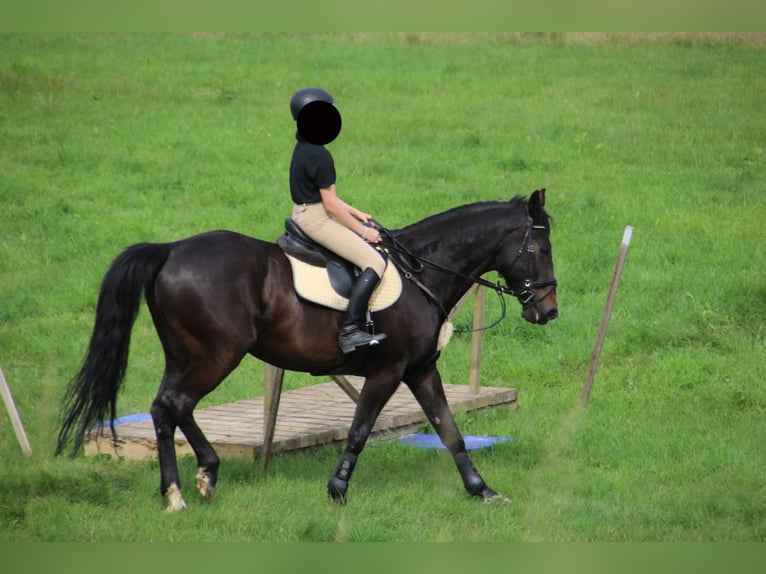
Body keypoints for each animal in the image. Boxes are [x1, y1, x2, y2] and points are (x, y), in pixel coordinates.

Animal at [55, 189, 560, 512]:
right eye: (539, 247)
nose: (549, 310)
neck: (423, 271)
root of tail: (171, 250)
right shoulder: (388, 370)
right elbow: (359, 431)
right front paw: (337, 490)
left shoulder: (419, 370)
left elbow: (450, 431)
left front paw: (482, 491)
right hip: (217, 355)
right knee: (177, 405)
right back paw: (203, 476)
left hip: (184, 355)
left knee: (163, 409)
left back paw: (177, 493)